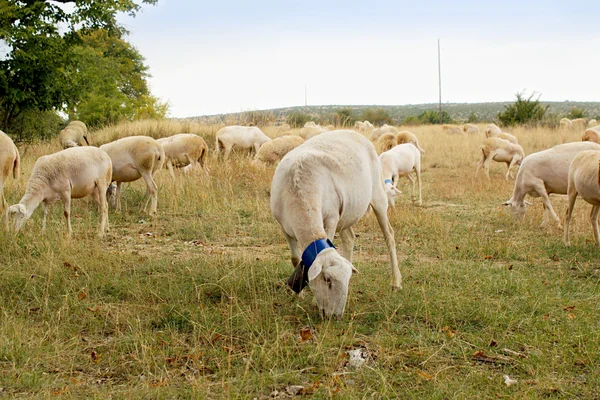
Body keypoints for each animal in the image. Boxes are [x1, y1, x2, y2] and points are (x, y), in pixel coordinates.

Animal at [270, 130, 400, 318]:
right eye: (327, 279)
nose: (335, 317)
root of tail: (354, 132)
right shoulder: (284, 227)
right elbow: (295, 259)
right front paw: (299, 296)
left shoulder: (330, 220)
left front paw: (311, 301)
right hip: (345, 215)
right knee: (350, 238)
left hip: (378, 196)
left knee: (389, 236)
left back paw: (396, 282)